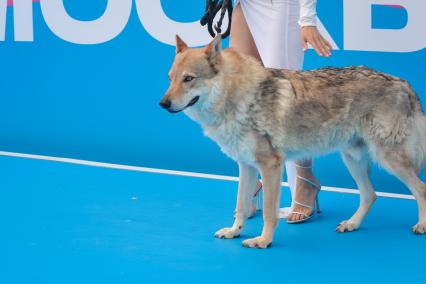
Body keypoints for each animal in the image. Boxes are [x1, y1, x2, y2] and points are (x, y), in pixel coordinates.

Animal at [160, 35, 426, 248]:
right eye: (170, 78)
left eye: (188, 79)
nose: (162, 104)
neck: (238, 97)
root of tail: (403, 82)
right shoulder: (246, 166)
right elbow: (241, 205)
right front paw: (234, 231)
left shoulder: (270, 166)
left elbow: (268, 211)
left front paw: (263, 241)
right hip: (352, 159)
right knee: (370, 195)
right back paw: (351, 224)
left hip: (388, 160)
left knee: (420, 189)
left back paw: (421, 225)